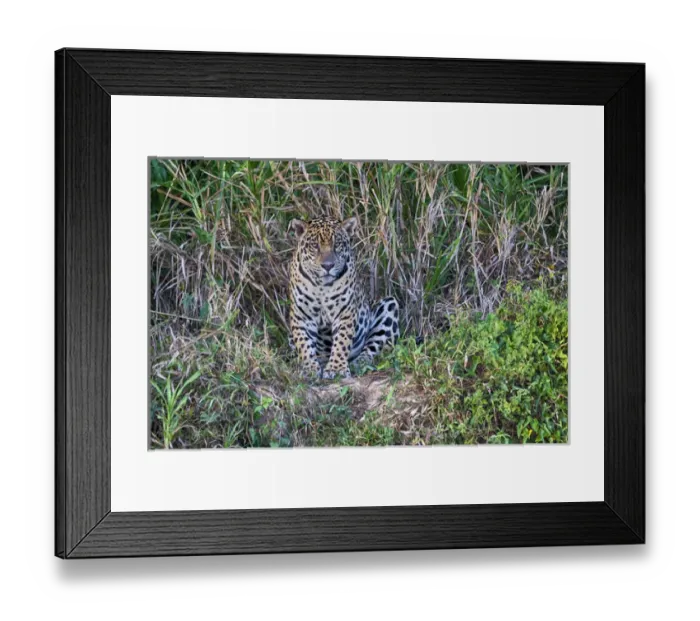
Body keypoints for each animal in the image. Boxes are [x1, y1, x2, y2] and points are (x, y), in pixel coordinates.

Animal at [288, 216, 399, 379]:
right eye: (315, 246)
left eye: (337, 245)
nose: (328, 265)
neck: (321, 286)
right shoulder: (301, 315)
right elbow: (304, 343)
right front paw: (309, 368)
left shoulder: (344, 313)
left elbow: (342, 341)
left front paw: (337, 368)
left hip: (389, 305)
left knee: (371, 348)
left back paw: (359, 363)